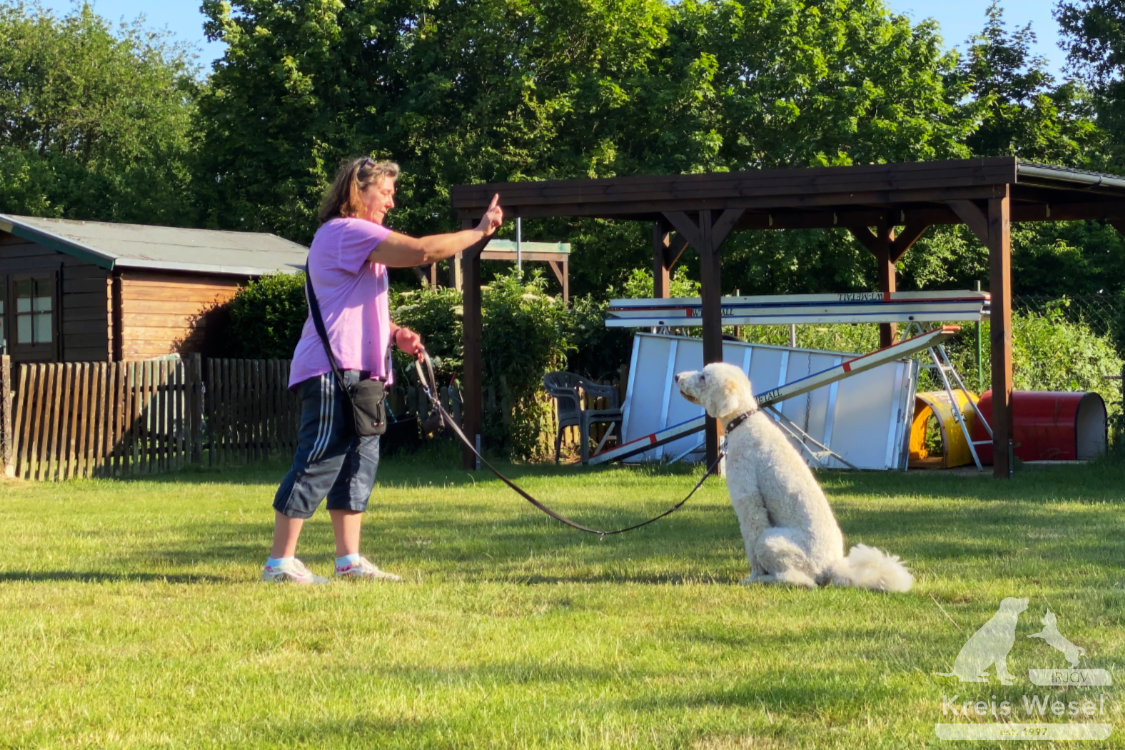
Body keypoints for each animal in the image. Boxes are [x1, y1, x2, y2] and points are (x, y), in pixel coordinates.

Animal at [670, 364, 909, 593]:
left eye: (703, 377)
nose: (677, 376)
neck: (743, 420)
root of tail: (832, 567)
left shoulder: (749, 500)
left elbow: (751, 537)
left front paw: (753, 575)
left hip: (771, 541)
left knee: (800, 580)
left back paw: (763, 581)